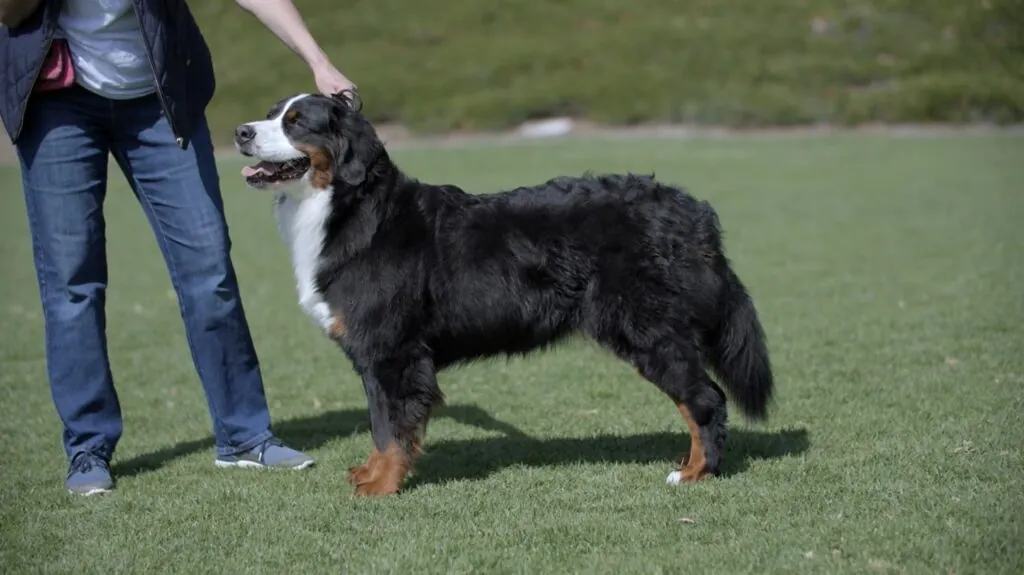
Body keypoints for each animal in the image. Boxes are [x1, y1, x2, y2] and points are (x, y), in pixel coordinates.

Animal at [234, 91, 774, 495]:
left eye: (296, 123)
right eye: (270, 115)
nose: (240, 132)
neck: (349, 208)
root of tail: (691, 210)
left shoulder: (391, 353)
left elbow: (391, 427)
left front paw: (381, 484)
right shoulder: (376, 357)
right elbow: (379, 421)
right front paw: (369, 473)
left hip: (648, 331)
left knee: (705, 399)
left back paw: (695, 472)